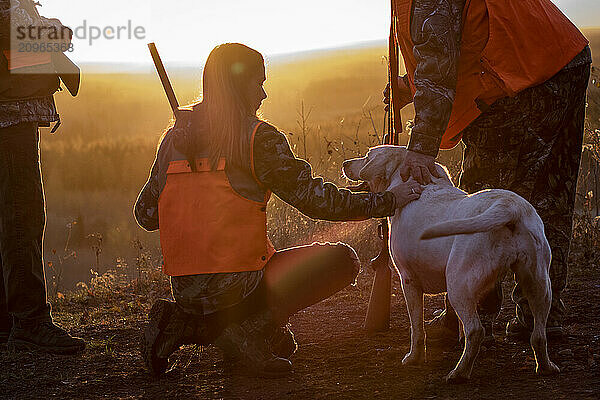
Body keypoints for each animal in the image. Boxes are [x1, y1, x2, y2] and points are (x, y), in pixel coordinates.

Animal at [344, 145, 560, 382]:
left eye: (367, 156)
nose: (345, 164)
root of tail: (509, 207)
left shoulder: (408, 280)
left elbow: (417, 328)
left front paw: (414, 358)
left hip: (459, 285)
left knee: (476, 331)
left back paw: (459, 372)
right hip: (539, 285)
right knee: (538, 334)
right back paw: (546, 366)